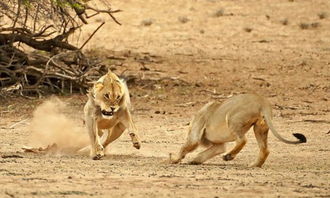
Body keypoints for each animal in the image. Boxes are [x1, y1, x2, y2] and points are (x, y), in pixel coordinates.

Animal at [170, 94, 306, 167]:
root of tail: (261, 101)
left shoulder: (196, 132)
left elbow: (184, 147)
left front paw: (172, 160)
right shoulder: (219, 146)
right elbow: (205, 153)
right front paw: (194, 161)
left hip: (232, 119)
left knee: (242, 140)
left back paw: (228, 156)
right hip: (260, 128)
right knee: (265, 149)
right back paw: (254, 165)